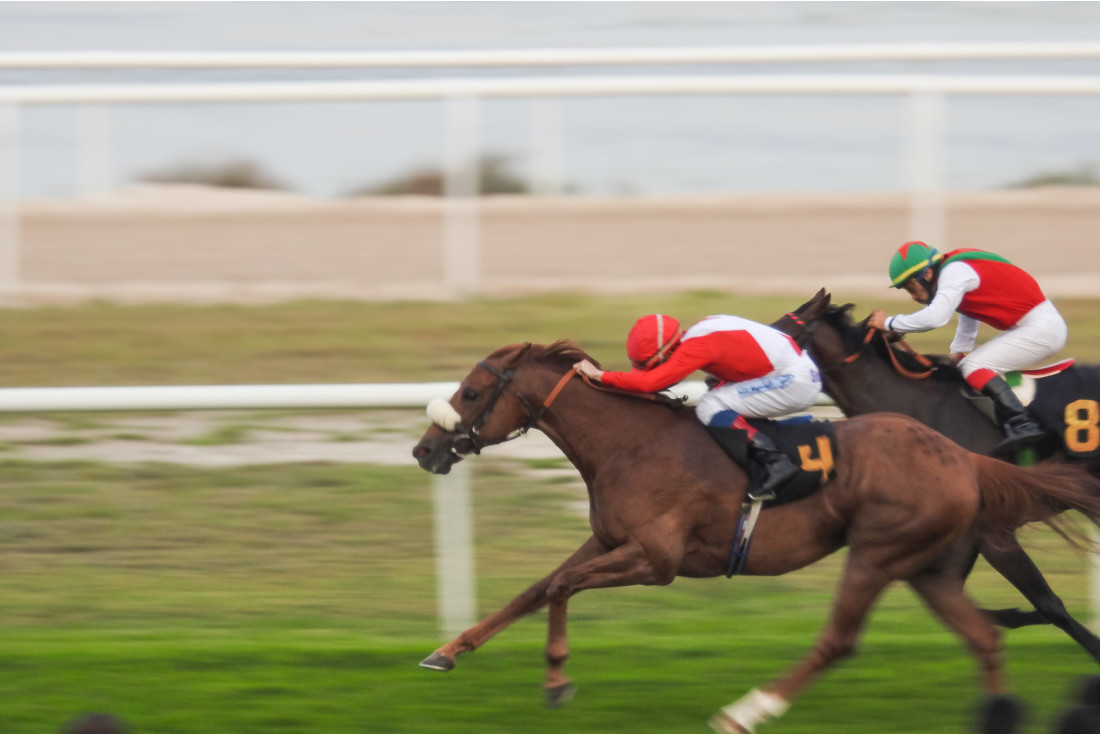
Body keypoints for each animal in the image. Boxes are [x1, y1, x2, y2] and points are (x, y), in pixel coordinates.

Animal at [411, 339, 1100, 733]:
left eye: (470, 391)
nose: (423, 449)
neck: (629, 444)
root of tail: (965, 457)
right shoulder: (609, 542)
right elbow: (536, 588)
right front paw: (446, 650)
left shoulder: (654, 559)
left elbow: (561, 589)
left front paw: (556, 682)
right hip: (927, 567)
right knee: (984, 638)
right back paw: (999, 714)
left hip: (879, 552)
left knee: (839, 640)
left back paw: (746, 711)